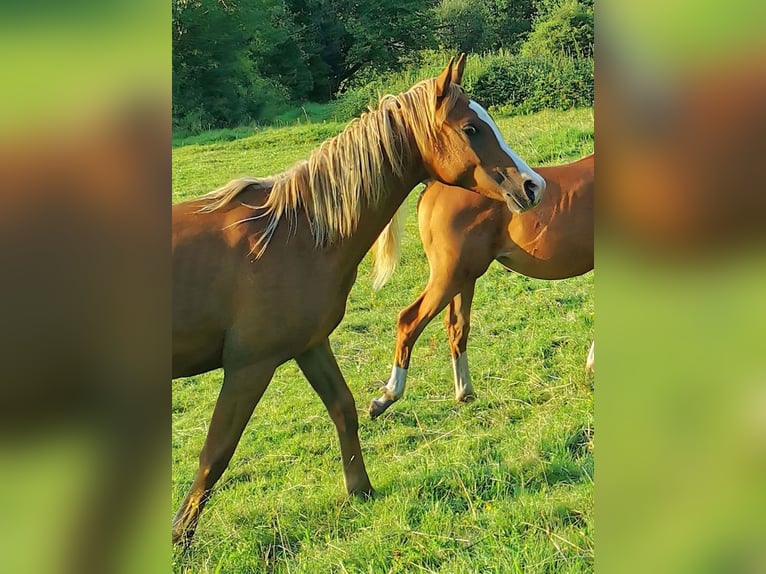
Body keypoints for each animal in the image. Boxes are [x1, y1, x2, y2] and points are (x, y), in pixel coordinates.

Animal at [176, 57, 544, 548]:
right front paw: (180, 536)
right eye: (471, 128)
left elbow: (344, 409)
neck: (293, 234)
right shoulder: (248, 366)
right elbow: (216, 452)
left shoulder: (310, 346)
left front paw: (361, 489)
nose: (533, 185)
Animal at [368, 153, 596, 418]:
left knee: (457, 327)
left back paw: (464, 392)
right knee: (409, 320)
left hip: (464, 278)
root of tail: (434, 183)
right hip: (450, 276)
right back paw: (387, 396)